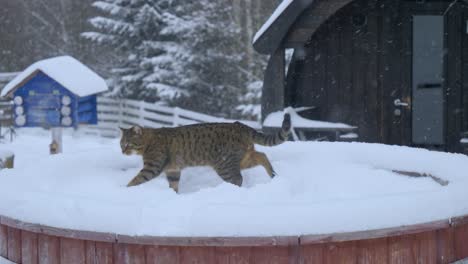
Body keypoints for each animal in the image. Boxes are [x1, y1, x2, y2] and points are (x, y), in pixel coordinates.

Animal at [119, 113, 288, 192]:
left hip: (225, 165)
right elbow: (173, 186)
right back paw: (272, 173)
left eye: (127, 144)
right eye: (121, 144)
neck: (149, 141)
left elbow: (136, 180)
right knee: (262, 155)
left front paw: (124, 190)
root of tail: (240, 125)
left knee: (238, 179)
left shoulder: (152, 167)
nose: (122, 151)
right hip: (243, 159)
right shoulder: (173, 170)